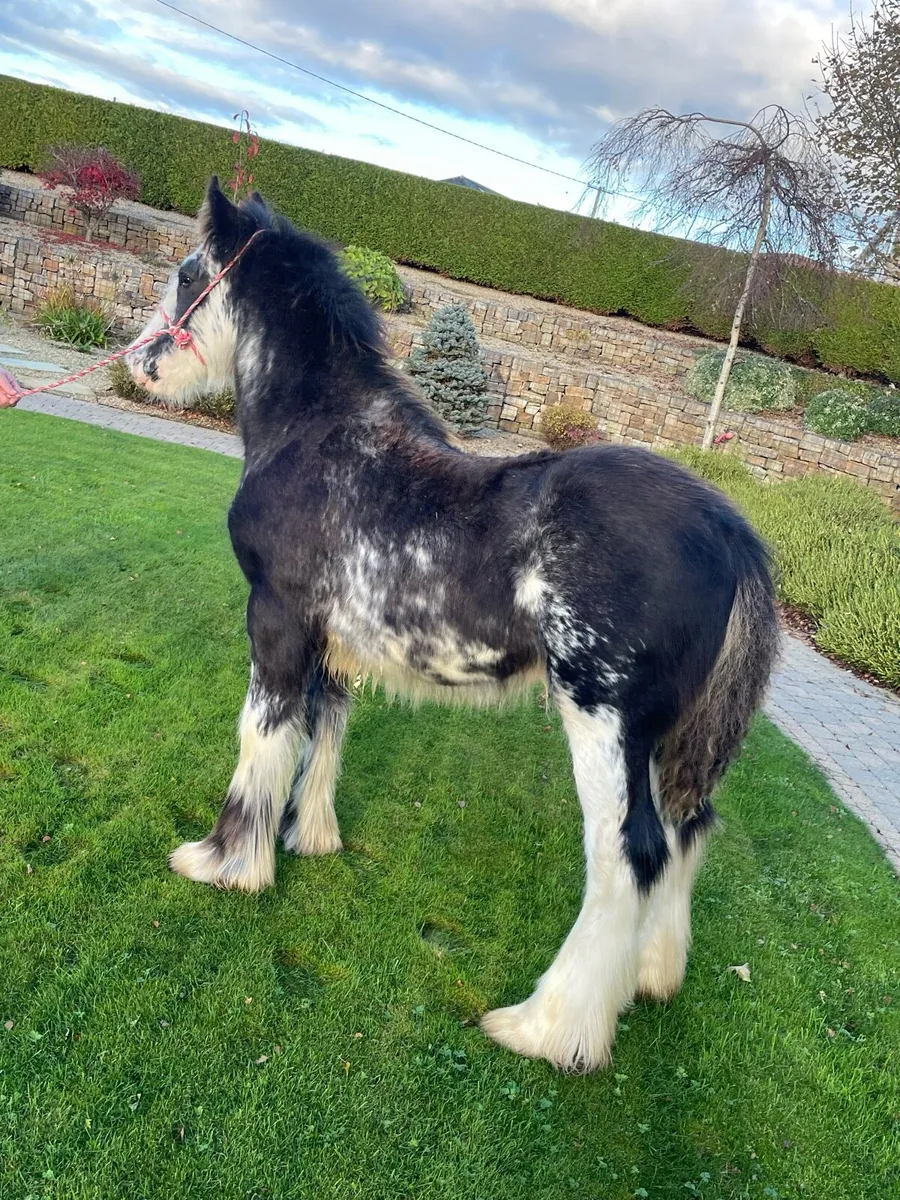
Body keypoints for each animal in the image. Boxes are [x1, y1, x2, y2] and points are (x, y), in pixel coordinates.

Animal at [125, 177, 779, 1071]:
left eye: (189, 273)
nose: (139, 360)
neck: (322, 436)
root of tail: (731, 530)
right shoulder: (334, 644)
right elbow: (324, 729)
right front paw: (310, 839)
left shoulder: (277, 621)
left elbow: (262, 734)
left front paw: (226, 862)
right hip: (673, 742)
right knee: (686, 834)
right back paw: (647, 977)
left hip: (605, 722)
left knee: (629, 854)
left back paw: (551, 1029)